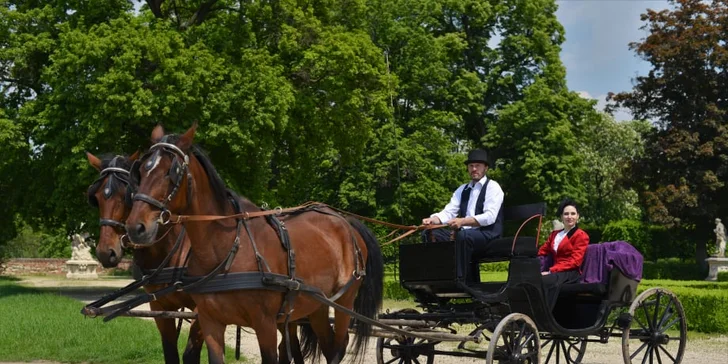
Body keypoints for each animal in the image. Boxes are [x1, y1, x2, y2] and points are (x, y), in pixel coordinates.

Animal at [123, 123, 386, 362]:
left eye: (172, 172)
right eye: (142, 171)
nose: (136, 227)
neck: (226, 250)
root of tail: (346, 221)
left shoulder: (265, 323)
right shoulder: (210, 322)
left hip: (344, 300)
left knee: (339, 346)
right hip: (317, 304)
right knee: (329, 345)